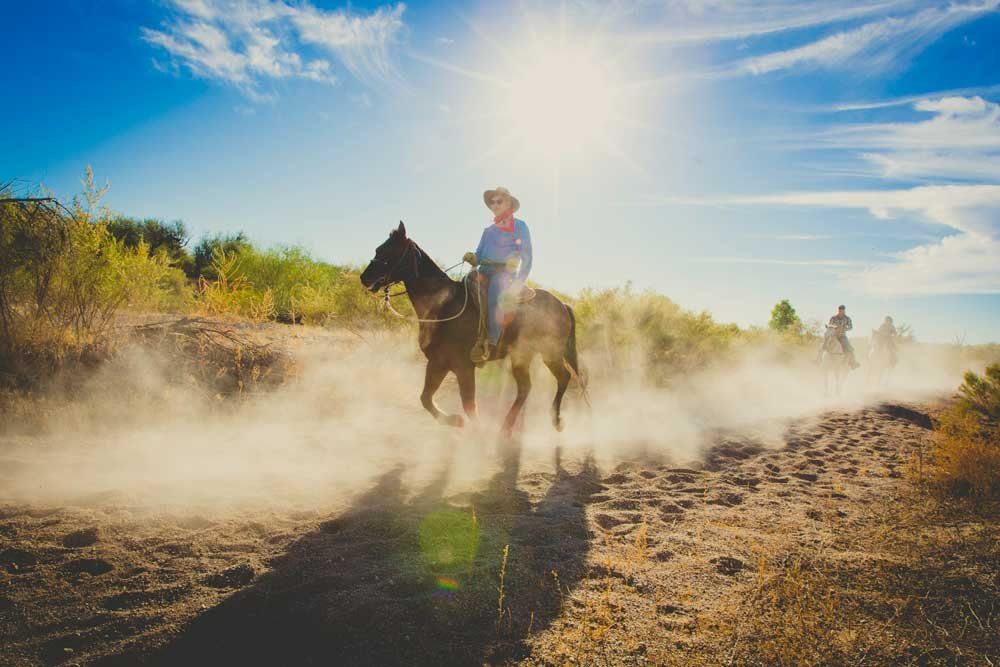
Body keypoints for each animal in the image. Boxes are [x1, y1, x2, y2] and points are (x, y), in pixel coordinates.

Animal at [360, 222, 584, 436]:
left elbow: (468, 404)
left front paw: (477, 431)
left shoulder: (463, 366)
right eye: (379, 248)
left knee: (563, 377)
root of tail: (562, 305)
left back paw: (555, 421)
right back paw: (507, 427)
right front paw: (455, 421)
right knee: (525, 388)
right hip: (523, 356)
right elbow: (426, 398)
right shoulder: (438, 362)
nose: (364, 277)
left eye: (390, 251)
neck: (444, 306)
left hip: (549, 353)